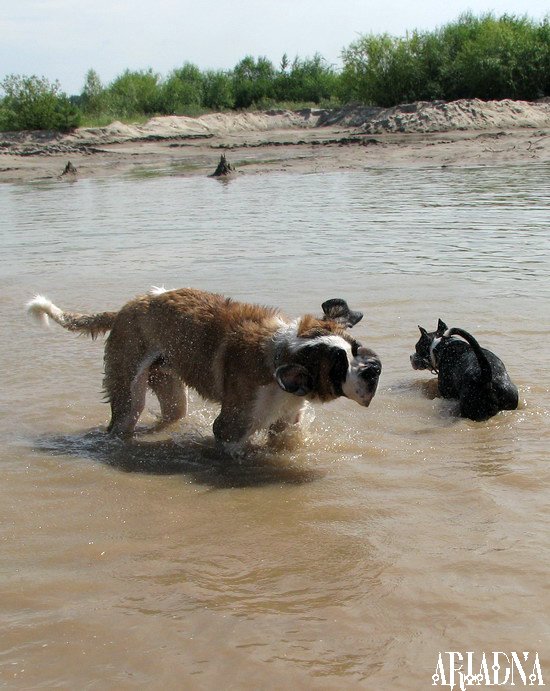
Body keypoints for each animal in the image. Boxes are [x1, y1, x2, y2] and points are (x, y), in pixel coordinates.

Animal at [27, 286, 384, 454]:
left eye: (355, 348)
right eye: (338, 367)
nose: (373, 369)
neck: (283, 352)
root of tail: (124, 309)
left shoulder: (286, 421)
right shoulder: (230, 428)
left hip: (170, 390)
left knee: (171, 414)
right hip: (128, 393)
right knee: (124, 419)